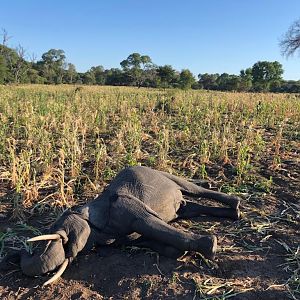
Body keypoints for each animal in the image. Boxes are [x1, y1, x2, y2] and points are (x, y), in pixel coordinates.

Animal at [18, 166, 240, 286]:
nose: (26, 251)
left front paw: (211, 246)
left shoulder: (125, 206)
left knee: (193, 189)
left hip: (168, 176)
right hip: (182, 207)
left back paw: (236, 205)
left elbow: (148, 223)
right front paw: (181, 253)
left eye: (62, 236)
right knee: (189, 207)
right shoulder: (119, 238)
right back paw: (233, 213)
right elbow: (147, 239)